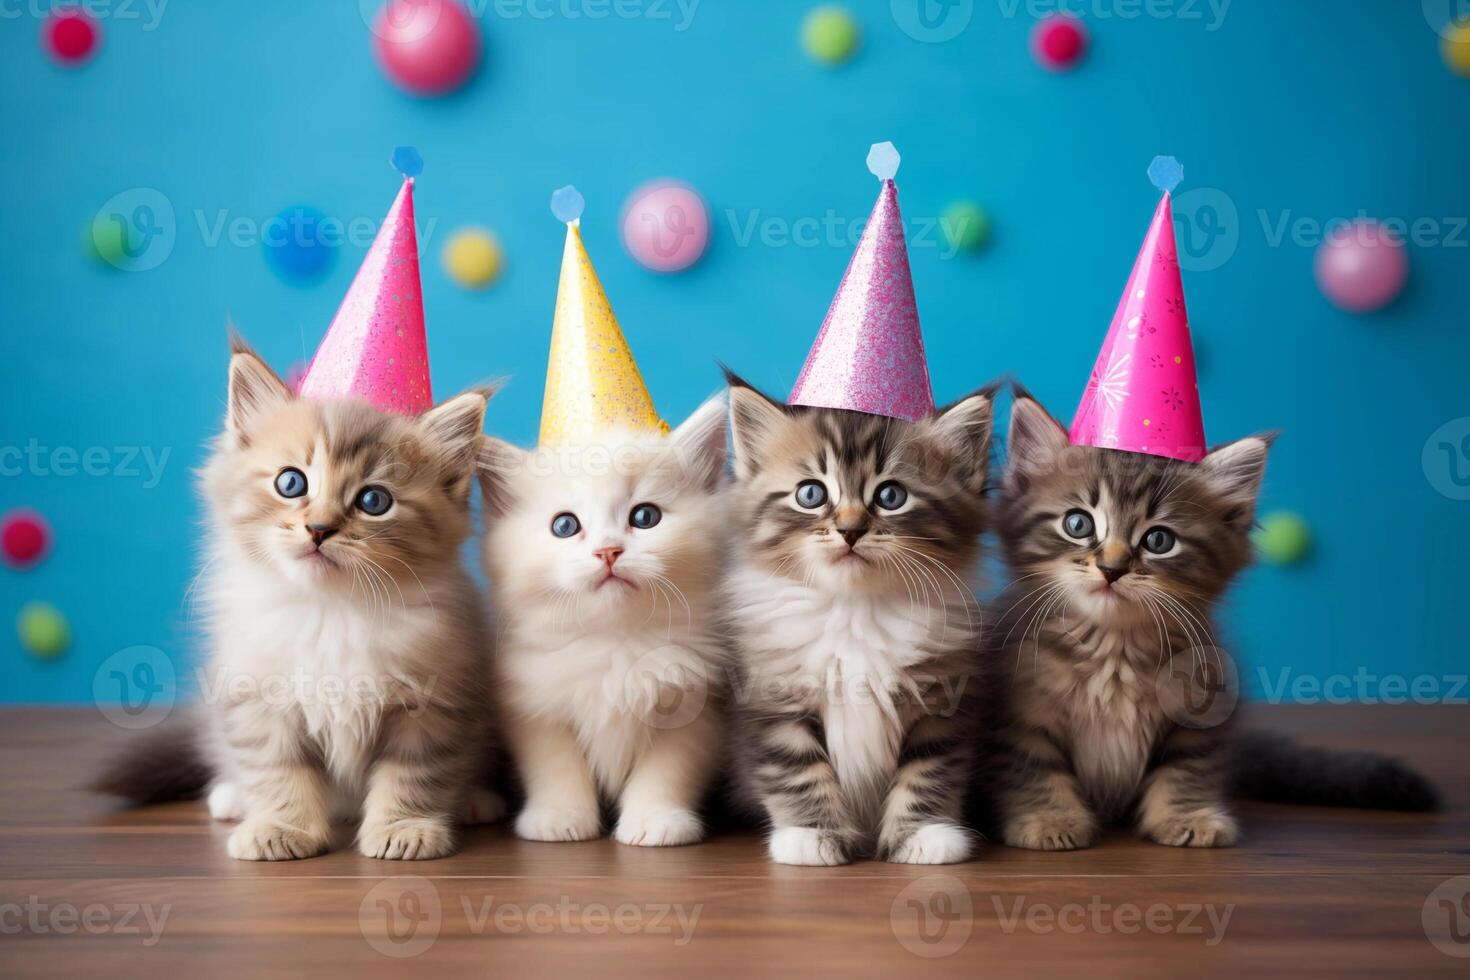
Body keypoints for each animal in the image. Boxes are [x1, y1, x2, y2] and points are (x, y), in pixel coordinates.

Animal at [99, 340, 499, 863]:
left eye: (374, 500)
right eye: (291, 483)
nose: (319, 528)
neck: (330, 612)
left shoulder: (433, 704)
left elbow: (411, 775)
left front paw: (404, 829)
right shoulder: (258, 699)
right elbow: (280, 773)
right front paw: (280, 829)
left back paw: (475, 801)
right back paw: (231, 797)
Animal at [479, 399, 732, 852]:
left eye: (645, 516)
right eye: (565, 526)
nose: (608, 551)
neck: (616, 641)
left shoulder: (696, 707)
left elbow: (668, 771)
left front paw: (656, 822)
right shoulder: (536, 704)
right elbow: (555, 768)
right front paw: (559, 819)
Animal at [720, 376, 993, 863]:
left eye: (891, 496)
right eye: (811, 494)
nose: (850, 530)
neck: (854, 611)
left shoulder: (943, 703)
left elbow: (928, 771)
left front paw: (923, 835)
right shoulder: (772, 701)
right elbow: (799, 770)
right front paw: (811, 836)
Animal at [987, 390, 1434, 852]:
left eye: (1158, 540)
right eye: (1077, 523)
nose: (1112, 569)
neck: (1113, 648)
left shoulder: (1204, 708)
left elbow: (1187, 767)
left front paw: (1190, 817)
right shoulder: (1020, 714)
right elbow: (1035, 767)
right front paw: (1049, 819)